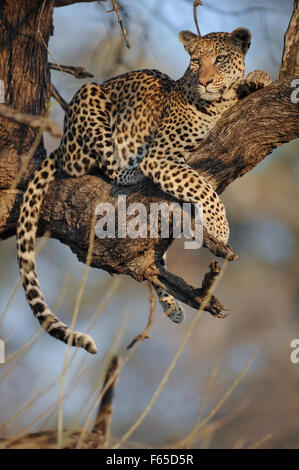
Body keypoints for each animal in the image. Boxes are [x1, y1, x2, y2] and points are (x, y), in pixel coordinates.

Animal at [17, 27, 274, 354]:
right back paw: (131, 171)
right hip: (90, 96)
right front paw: (219, 227)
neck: (220, 104)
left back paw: (172, 306)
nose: (204, 81)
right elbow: (200, 184)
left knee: (153, 259)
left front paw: (258, 79)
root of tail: (62, 144)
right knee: (110, 166)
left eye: (220, 59)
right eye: (196, 61)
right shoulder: (160, 157)